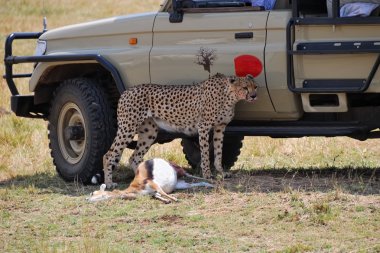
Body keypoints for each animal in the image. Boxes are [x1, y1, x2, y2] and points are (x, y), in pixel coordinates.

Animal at [103, 73, 258, 188]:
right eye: (245, 87)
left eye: (255, 86)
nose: (254, 96)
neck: (229, 95)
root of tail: (126, 91)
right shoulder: (204, 126)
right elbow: (205, 153)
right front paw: (207, 174)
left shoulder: (220, 127)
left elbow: (219, 152)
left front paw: (221, 171)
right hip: (128, 127)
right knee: (109, 155)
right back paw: (109, 183)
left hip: (149, 132)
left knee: (134, 157)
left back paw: (144, 180)